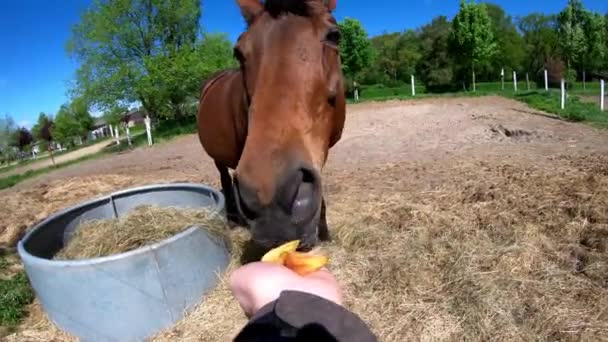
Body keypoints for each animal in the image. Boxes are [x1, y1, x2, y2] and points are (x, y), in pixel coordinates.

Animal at [197, 0, 344, 251]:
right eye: (238, 52)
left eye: (335, 36)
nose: (267, 196)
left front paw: (324, 233)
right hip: (217, 158)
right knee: (224, 177)